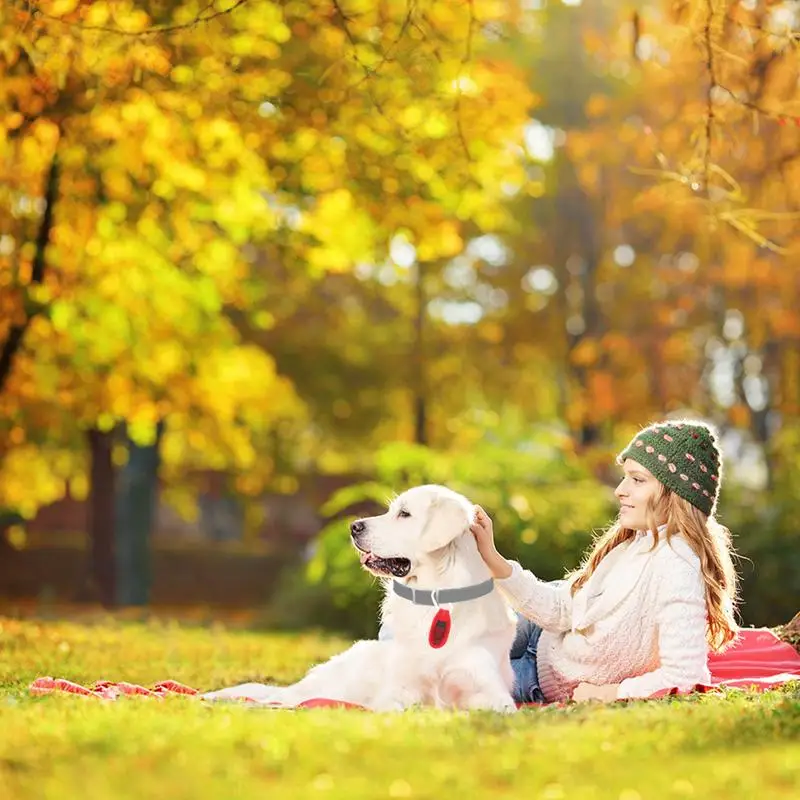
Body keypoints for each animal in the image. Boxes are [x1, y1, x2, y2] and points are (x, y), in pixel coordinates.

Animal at [205, 484, 520, 708]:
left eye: (404, 514)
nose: (354, 526)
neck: (435, 598)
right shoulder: (397, 690)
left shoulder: (489, 690)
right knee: (283, 697)